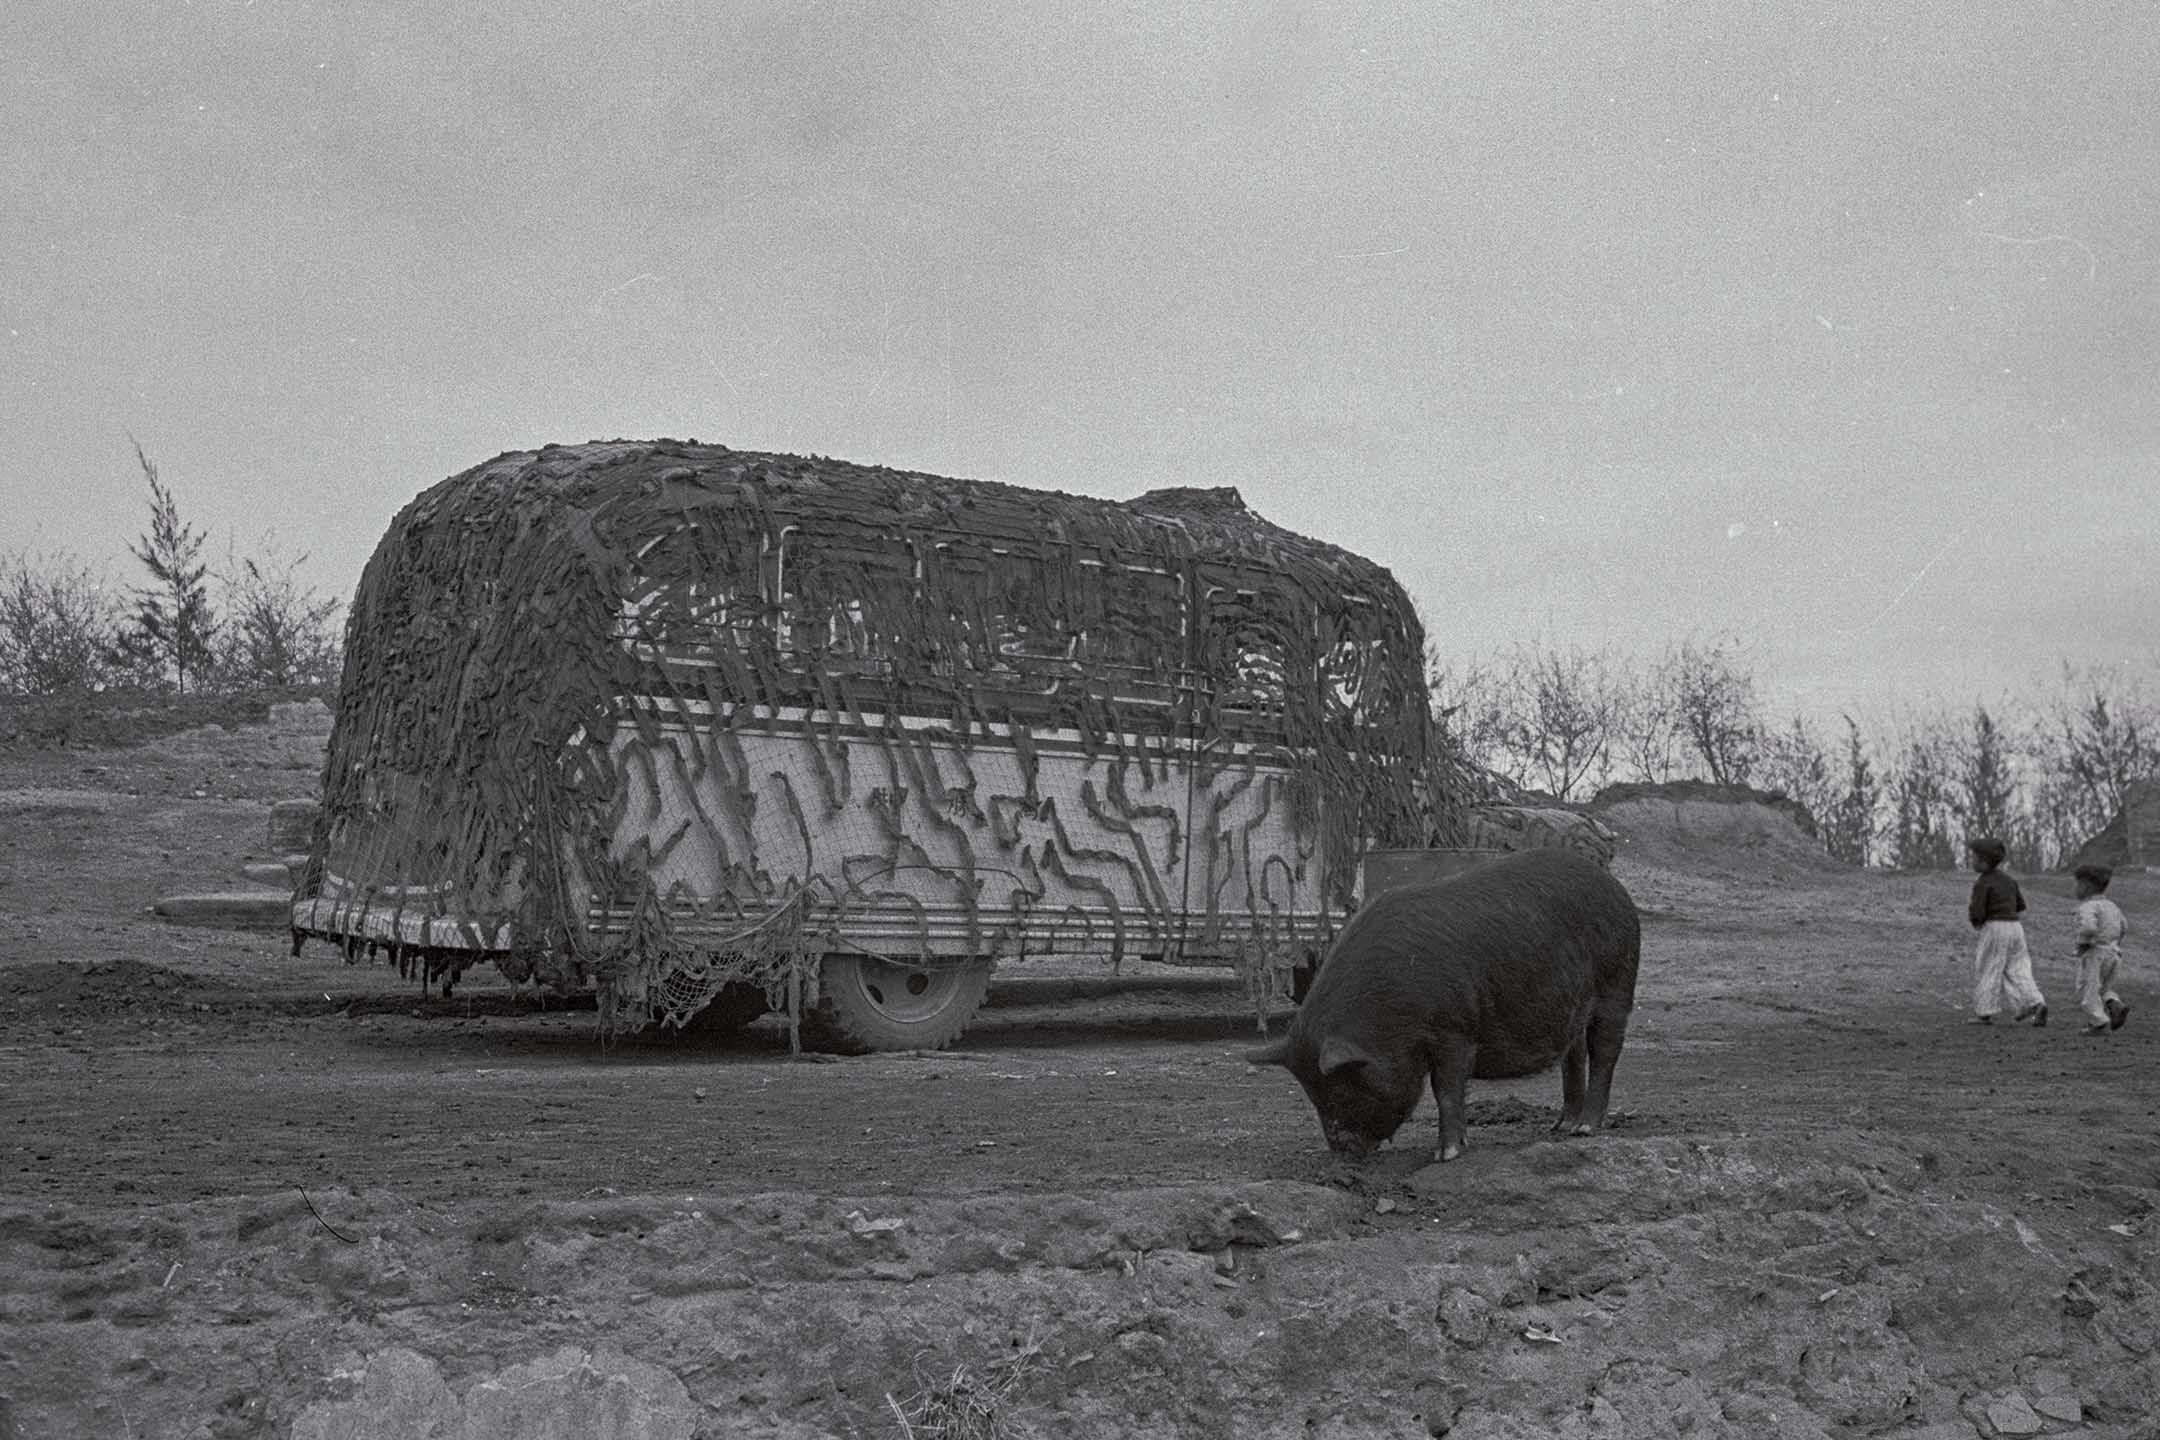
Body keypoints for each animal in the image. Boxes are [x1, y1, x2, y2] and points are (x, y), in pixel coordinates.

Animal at [1252, 850, 1632, 1165]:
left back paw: (1585, 1129)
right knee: (1574, 1057)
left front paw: (1445, 1155)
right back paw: (1561, 1127)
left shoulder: (1455, 1029)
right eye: (1313, 1095)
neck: (1388, 1013)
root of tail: (1615, 887)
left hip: (1617, 984)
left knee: (1605, 1054)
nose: (1340, 1151)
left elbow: (1446, 1090)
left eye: (1343, 1088)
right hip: (1574, 1009)